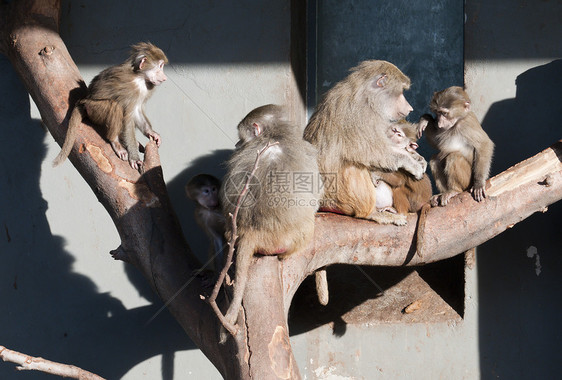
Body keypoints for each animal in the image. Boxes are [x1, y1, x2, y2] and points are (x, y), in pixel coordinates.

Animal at [51, 42, 167, 171]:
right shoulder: (131, 89)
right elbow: (128, 119)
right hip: (93, 109)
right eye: (160, 66)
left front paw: (152, 133)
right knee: (115, 106)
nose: (164, 78)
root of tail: (83, 101)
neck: (140, 77)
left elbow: (136, 112)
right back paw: (115, 141)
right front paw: (134, 158)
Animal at [209, 104, 324, 336]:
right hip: (289, 238)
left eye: (241, 138)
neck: (273, 135)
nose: (236, 144)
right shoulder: (306, 149)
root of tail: (250, 230)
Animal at [302, 59, 424, 226]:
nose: (410, 108)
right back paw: (370, 213)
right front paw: (411, 162)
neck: (368, 98)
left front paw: (418, 158)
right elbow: (370, 152)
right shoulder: (358, 115)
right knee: (353, 166)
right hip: (335, 193)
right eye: (401, 92)